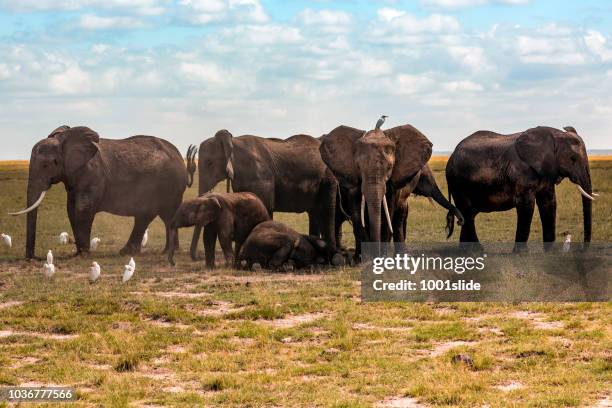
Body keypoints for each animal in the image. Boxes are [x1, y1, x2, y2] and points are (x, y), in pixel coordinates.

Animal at [10, 125, 196, 258]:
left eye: (46, 165)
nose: (32, 258)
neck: (64, 139)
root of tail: (179, 155)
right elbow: (71, 209)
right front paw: (79, 253)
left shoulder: (92, 173)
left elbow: (82, 209)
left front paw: (83, 255)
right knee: (152, 216)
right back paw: (139, 252)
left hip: (170, 184)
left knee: (162, 215)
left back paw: (164, 252)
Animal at [191, 129, 338, 260]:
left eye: (209, 163)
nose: (195, 258)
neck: (233, 141)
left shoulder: (261, 177)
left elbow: (265, 207)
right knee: (314, 213)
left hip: (327, 181)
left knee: (327, 212)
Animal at [320, 123, 436, 255]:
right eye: (358, 167)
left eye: (390, 167)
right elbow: (357, 214)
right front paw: (363, 257)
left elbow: (388, 211)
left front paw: (382, 257)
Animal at [448, 126, 596, 250]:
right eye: (573, 158)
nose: (582, 250)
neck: (554, 134)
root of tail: (451, 156)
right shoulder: (522, 174)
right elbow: (527, 206)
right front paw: (520, 255)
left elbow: (549, 204)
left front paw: (549, 253)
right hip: (458, 183)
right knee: (467, 213)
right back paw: (476, 251)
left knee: (468, 215)